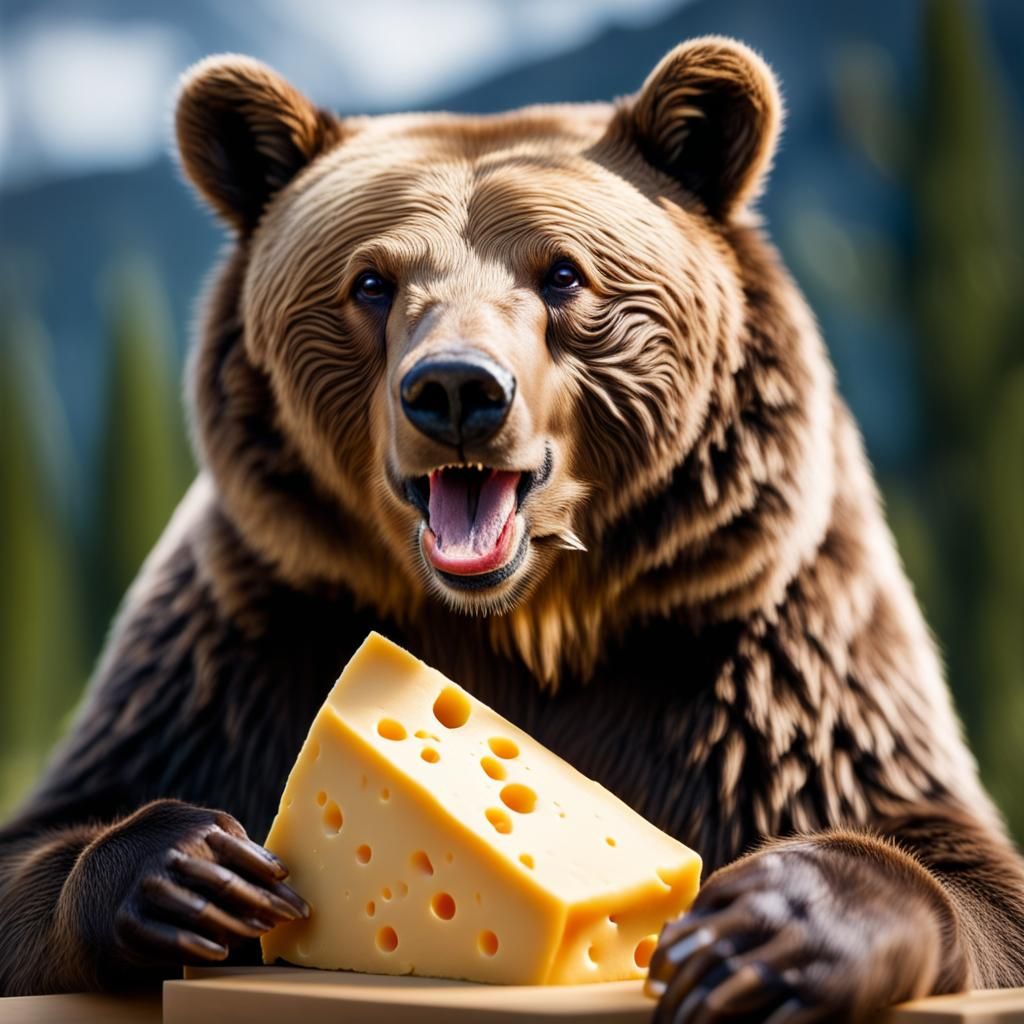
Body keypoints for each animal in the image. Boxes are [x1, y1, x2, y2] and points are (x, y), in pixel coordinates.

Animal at [2, 35, 1023, 1020]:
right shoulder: (240, 649)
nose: (456, 389)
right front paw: (193, 868)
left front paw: (763, 927)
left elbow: (963, 870)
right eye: (370, 281)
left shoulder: (764, 668)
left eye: (562, 272)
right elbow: (45, 839)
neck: (518, 626)